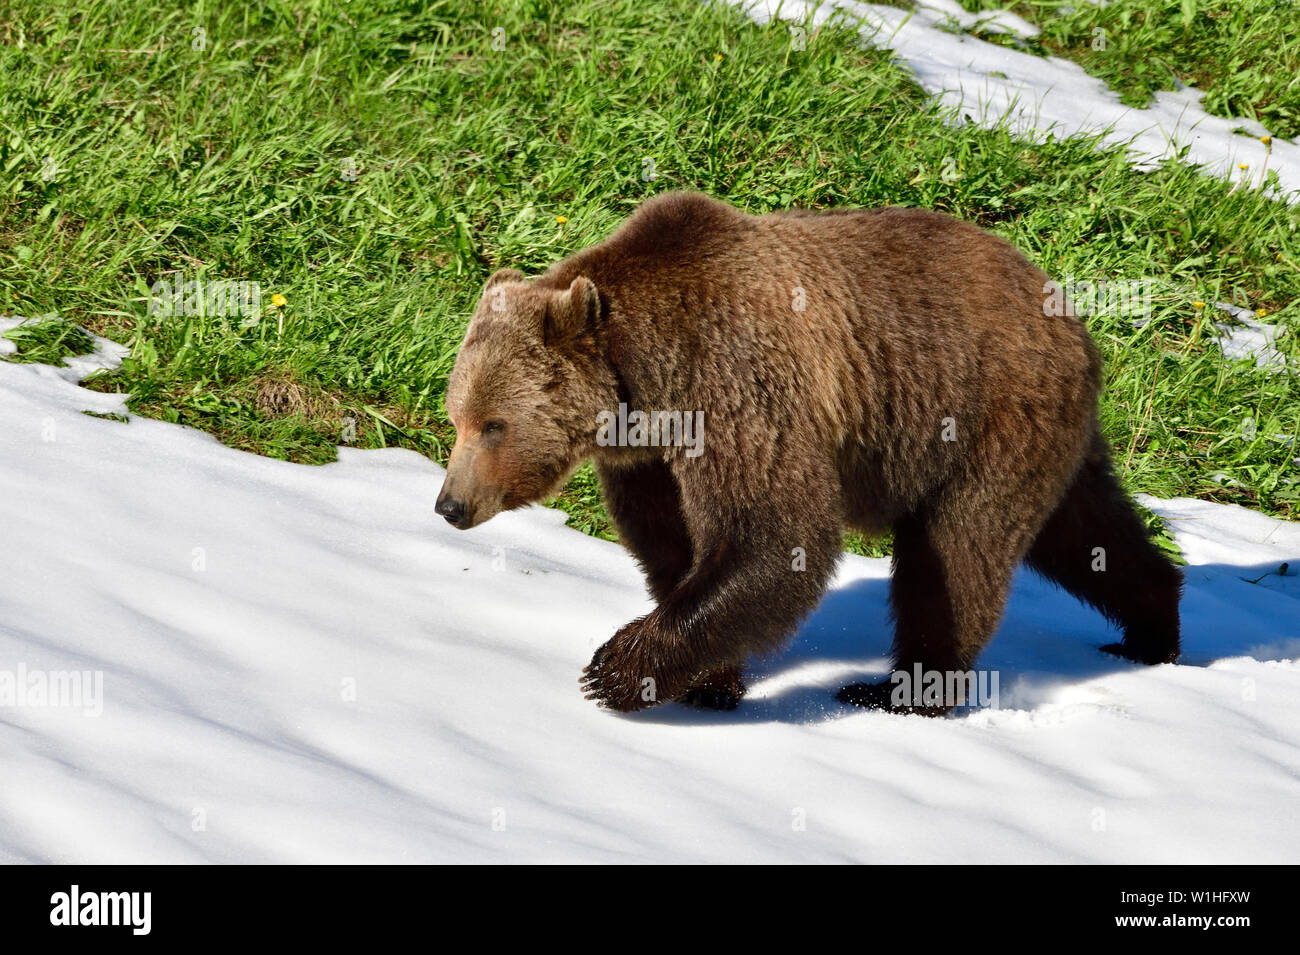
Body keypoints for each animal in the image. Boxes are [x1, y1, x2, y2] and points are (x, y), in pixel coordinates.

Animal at [439, 194, 1190, 712]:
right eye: (457, 417)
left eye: (493, 424)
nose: (450, 504)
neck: (649, 385)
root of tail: (1069, 314)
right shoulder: (649, 456)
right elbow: (673, 544)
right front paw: (707, 679)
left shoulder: (740, 387)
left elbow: (778, 533)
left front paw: (614, 669)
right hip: (1048, 435)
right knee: (1086, 532)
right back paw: (1152, 625)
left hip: (983, 417)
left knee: (956, 551)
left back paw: (898, 690)